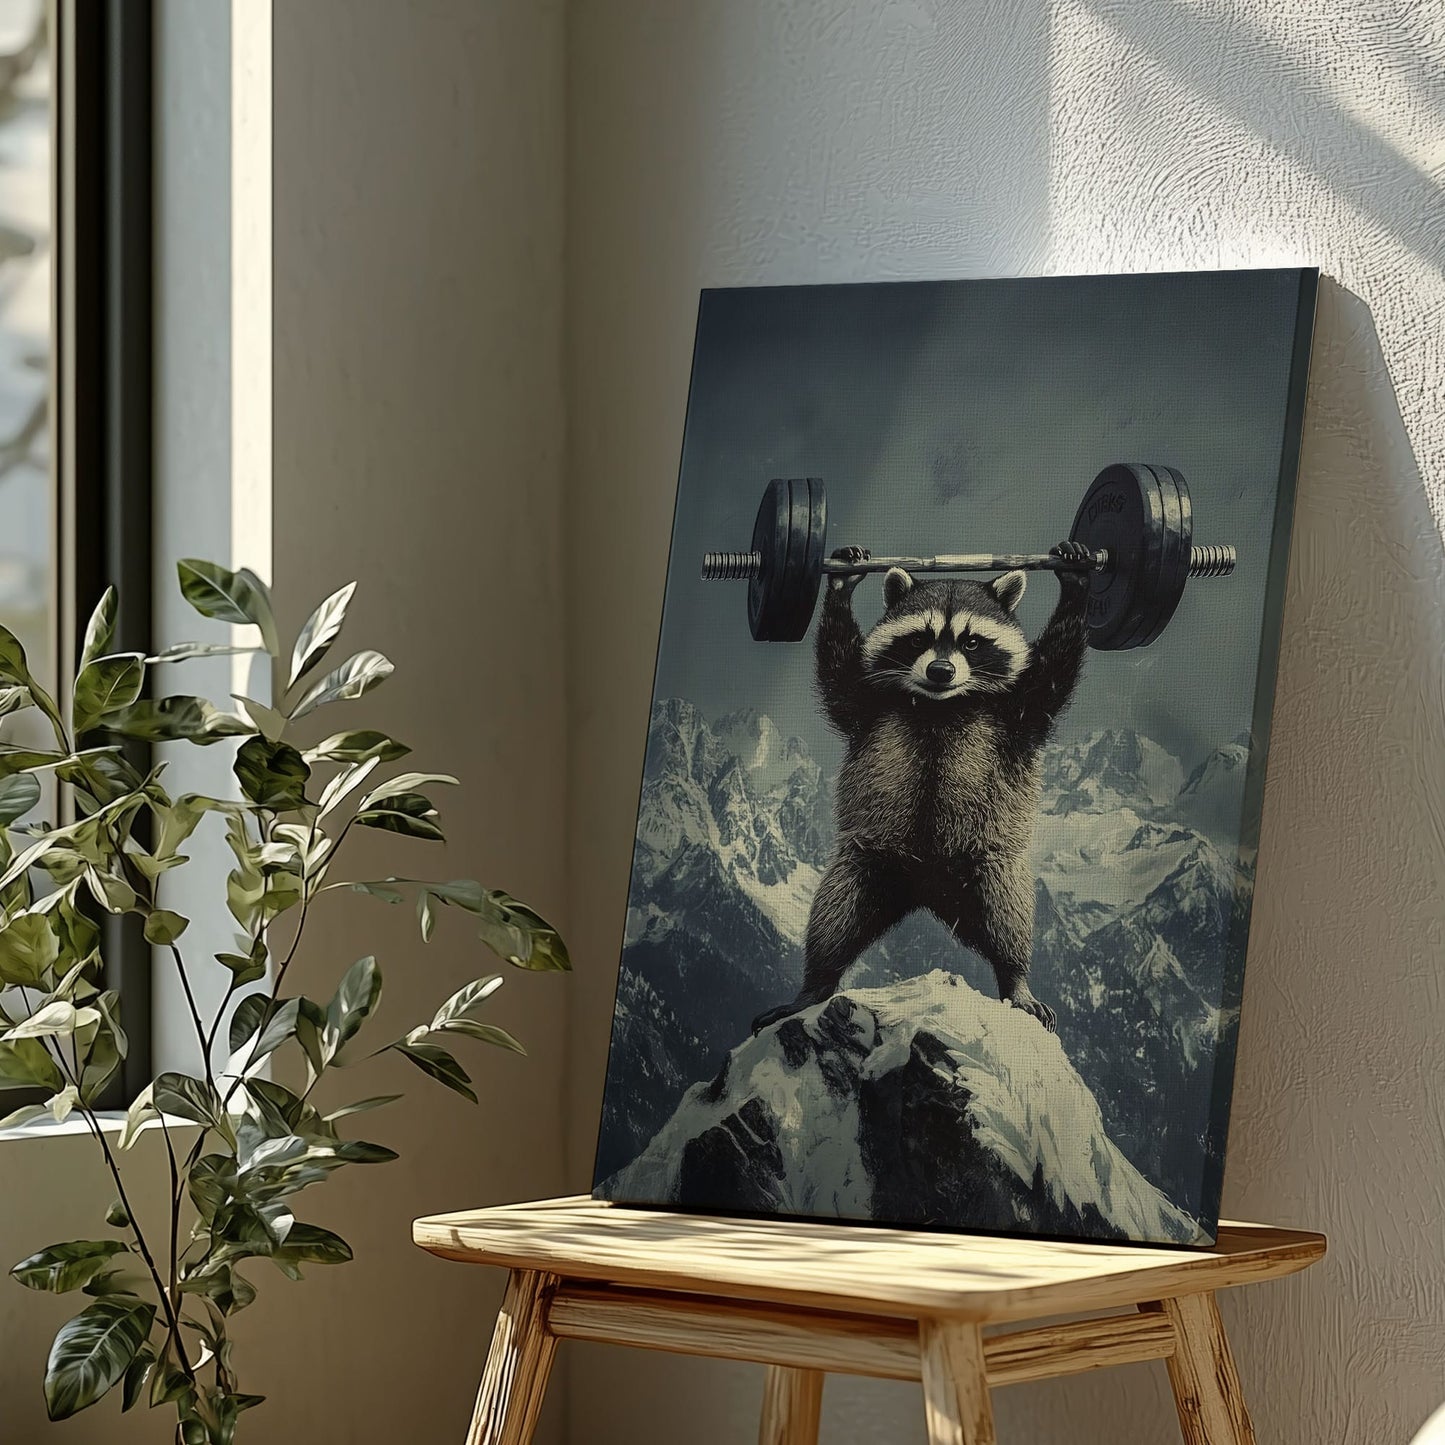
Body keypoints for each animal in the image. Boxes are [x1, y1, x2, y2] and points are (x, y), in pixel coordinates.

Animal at [752, 539, 1093, 1034]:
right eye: (919, 638)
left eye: (972, 641)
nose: (940, 670)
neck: (939, 704)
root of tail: (927, 891)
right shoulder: (869, 705)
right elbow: (838, 675)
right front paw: (840, 584)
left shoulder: (1019, 713)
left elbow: (1053, 674)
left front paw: (1078, 586)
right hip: (869, 860)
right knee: (836, 918)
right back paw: (816, 981)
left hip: (987, 861)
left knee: (1007, 914)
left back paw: (1015, 977)